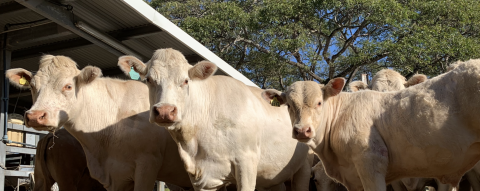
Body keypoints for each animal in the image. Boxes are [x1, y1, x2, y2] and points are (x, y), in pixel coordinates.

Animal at [117, 48, 310, 191]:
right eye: (149, 79)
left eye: (186, 81)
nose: (165, 111)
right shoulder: (202, 175)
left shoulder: (246, 162)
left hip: (303, 170)